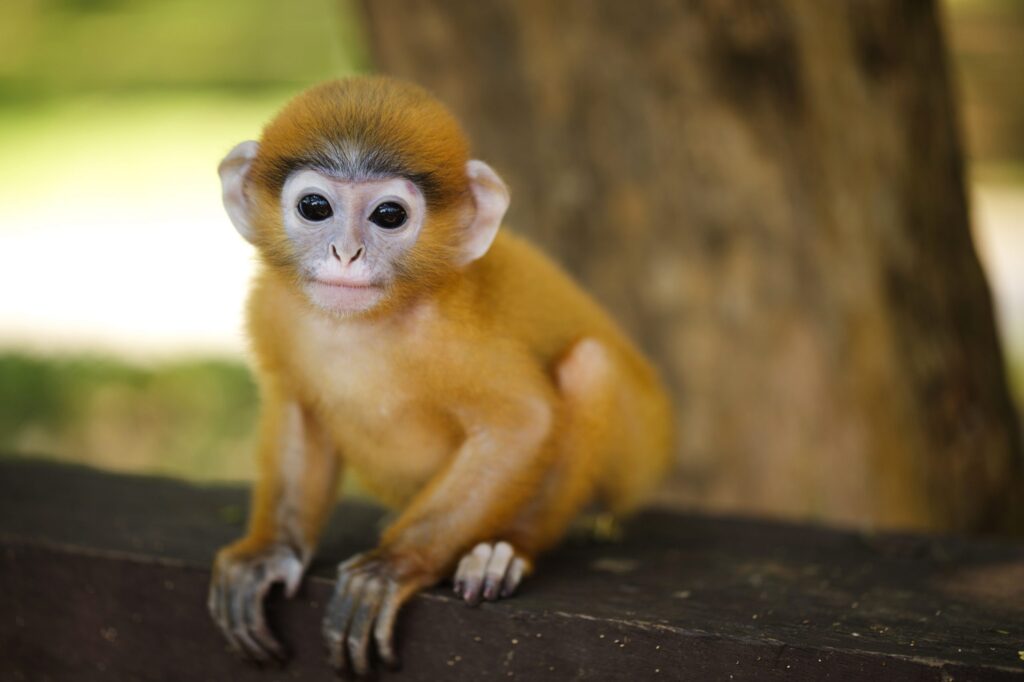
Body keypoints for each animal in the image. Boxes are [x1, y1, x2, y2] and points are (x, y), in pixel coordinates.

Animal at [205, 75, 671, 675]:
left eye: (389, 216)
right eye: (314, 206)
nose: (346, 252)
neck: (363, 326)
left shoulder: (453, 334)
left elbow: (523, 421)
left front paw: (392, 566)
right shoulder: (274, 308)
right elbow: (298, 408)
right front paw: (268, 553)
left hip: (633, 461)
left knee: (590, 366)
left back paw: (504, 551)